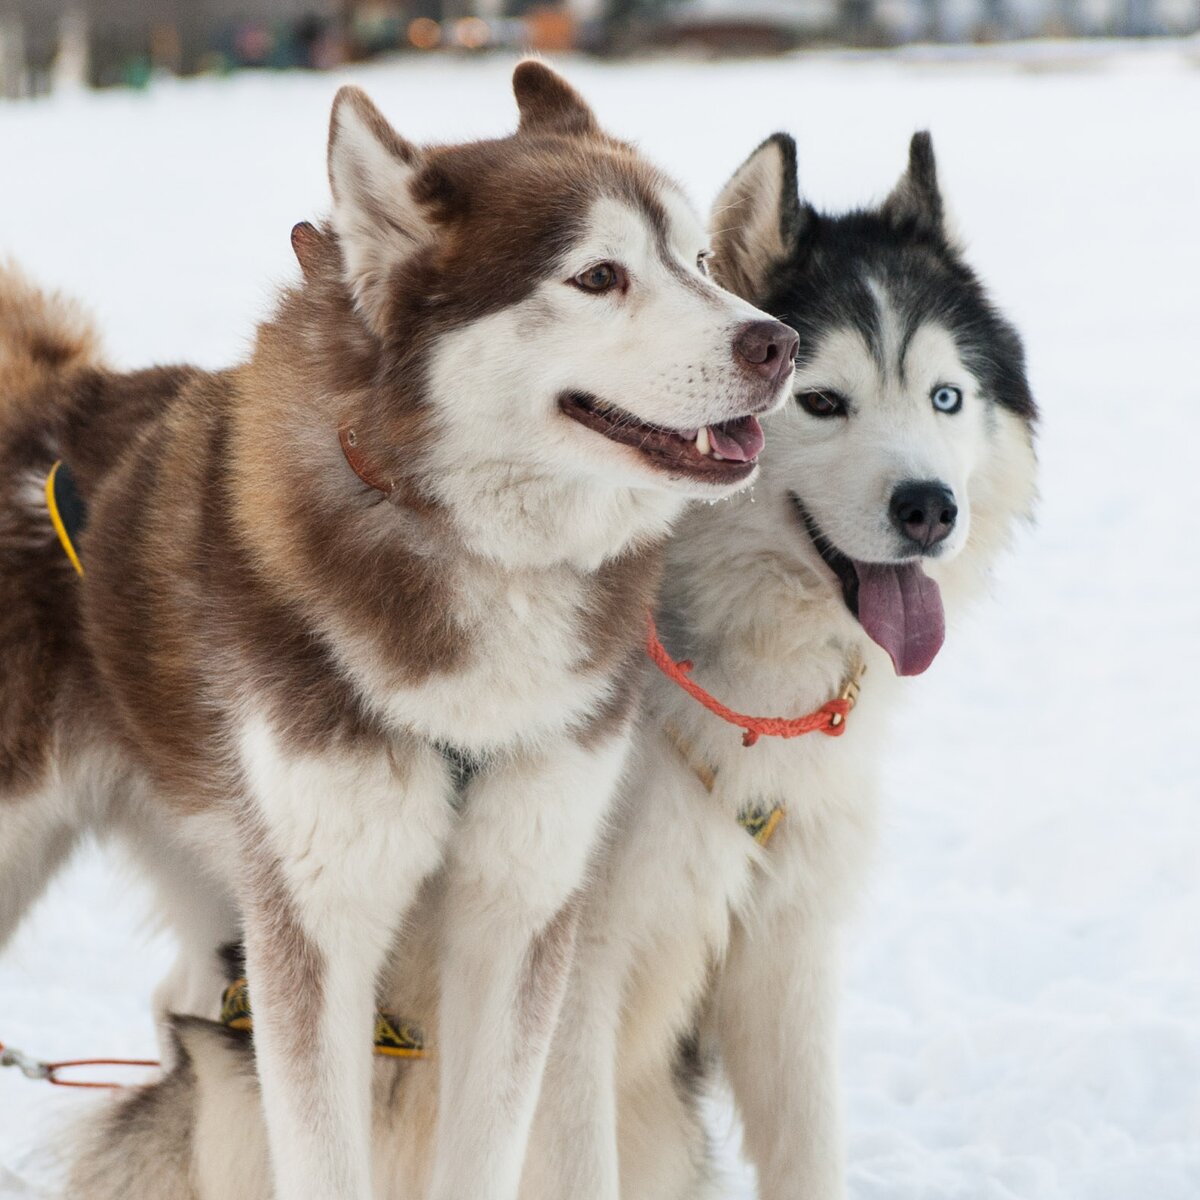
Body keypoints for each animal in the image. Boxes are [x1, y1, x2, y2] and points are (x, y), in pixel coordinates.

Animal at [2, 63, 796, 1200]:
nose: (778, 342)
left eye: (697, 262)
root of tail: (47, 403)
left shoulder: (518, 915)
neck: (480, 554)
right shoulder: (320, 931)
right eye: (598, 276)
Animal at [58, 131, 1032, 1200]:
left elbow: (808, 1153)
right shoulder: (578, 971)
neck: (720, 694)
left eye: (946, 398)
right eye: (823, 402)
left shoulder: (783, 956)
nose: (930, 508)